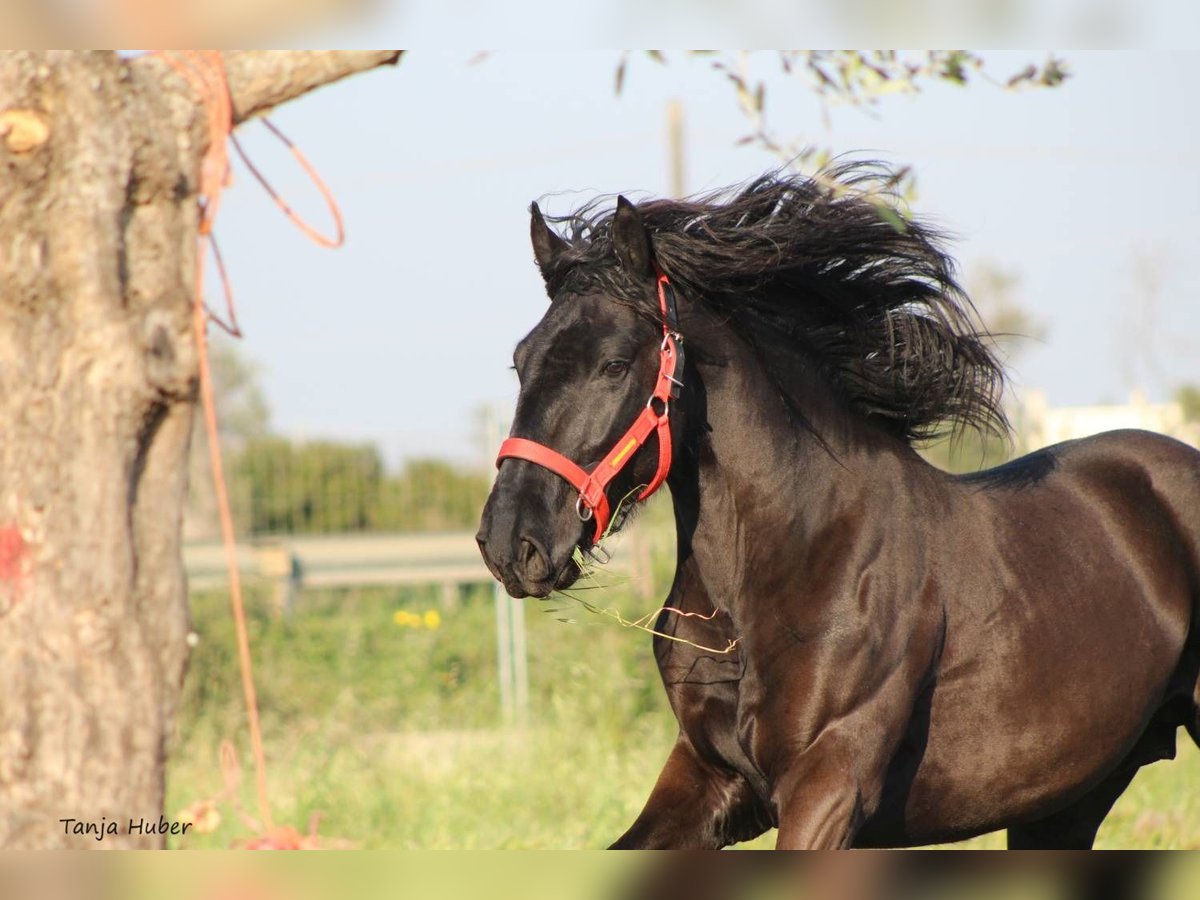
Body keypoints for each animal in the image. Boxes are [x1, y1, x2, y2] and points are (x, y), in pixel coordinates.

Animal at [475, 164, 1200, 854]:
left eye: (614, 364)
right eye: (520, 361)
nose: (510, 542)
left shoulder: (828, 783)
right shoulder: (711, 780)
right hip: (1063, 800)